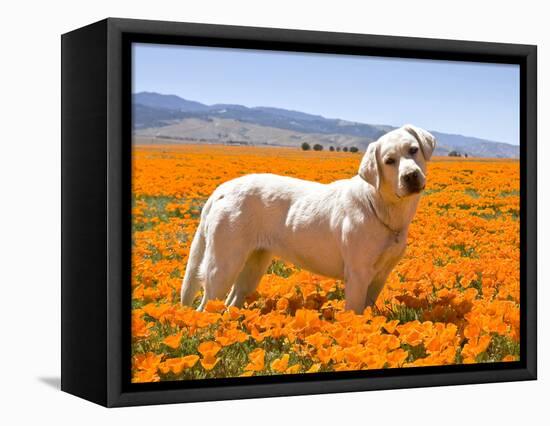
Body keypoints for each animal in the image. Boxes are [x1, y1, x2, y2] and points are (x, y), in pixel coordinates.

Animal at [180, 123, 436, 312]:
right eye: (389, 161)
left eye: (413, 150)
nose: (411, 176)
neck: (381, 206)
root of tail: (223, 189)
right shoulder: (358, 274)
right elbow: (355, 313)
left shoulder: (381, 275)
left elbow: (368, 310)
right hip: (222, 267)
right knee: (205, 306)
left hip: (252, 267)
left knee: (232, 301)